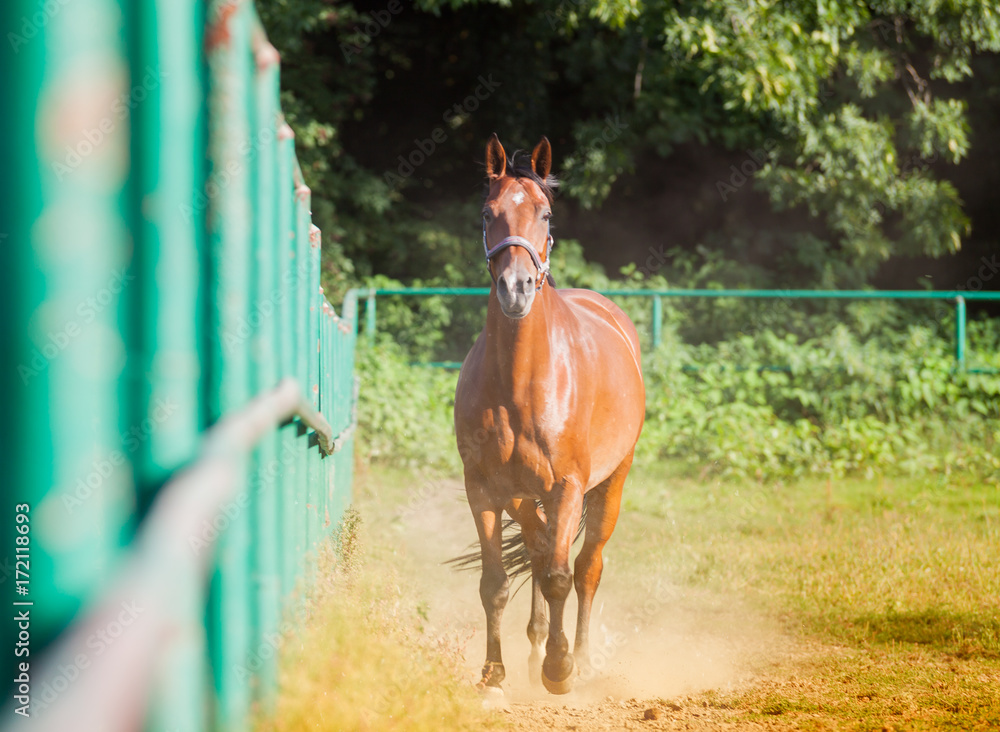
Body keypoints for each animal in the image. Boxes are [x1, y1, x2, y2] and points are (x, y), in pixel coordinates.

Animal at [456, 134, 648, 696]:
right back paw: (535, 646)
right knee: (541, 550)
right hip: (527, 496)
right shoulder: (484, 490)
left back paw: (577, 657)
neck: (521, 381)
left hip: (610, 484)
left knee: (584, 566)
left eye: (545, 214)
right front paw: (493, 672)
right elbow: (496, 582)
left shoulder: (566, 486)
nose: (516, 287)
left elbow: (563, 575)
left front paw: (560, 670)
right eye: (488, 213)